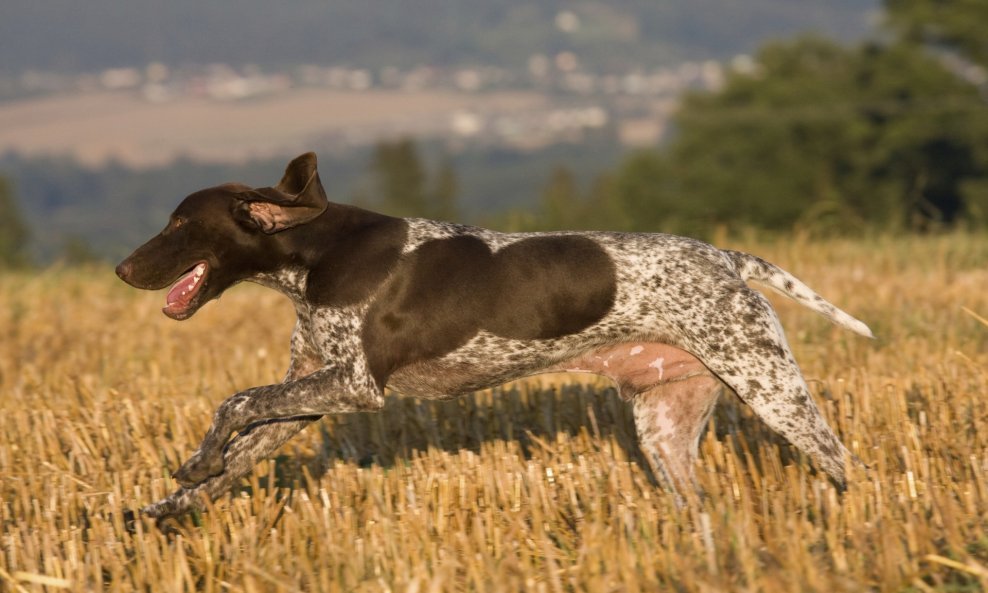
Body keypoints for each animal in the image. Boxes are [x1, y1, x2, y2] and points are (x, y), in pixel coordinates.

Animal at [117, 153, 872, 520]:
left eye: (181, 224)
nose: (122, 269)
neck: (315, 255)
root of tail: (727, 258)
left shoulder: (356, 385)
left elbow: (236, 401)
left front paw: (197, 461)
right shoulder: (311, 391)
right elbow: (237, 452)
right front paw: (174, 497)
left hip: (771, 389)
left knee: (844, 464)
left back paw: (857, 524)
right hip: (664, 426)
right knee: (699, 502)